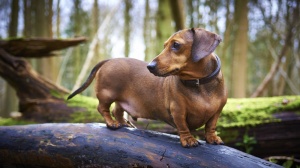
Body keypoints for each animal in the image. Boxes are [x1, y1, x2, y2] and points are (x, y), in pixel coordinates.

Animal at [68, 28, 227, 148]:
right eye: (165, 45)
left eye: (176, 44)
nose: (150, 66)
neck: (199, 84)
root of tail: (109, 60)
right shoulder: (178, 110)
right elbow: (183, 126)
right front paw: (188, 139)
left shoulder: (217, 111)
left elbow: (211, 125)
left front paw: (213, 138)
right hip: (107, 94)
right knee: (103, 108)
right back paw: (112, 123)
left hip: (120, 99)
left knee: (117, 110)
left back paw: (124, 123)